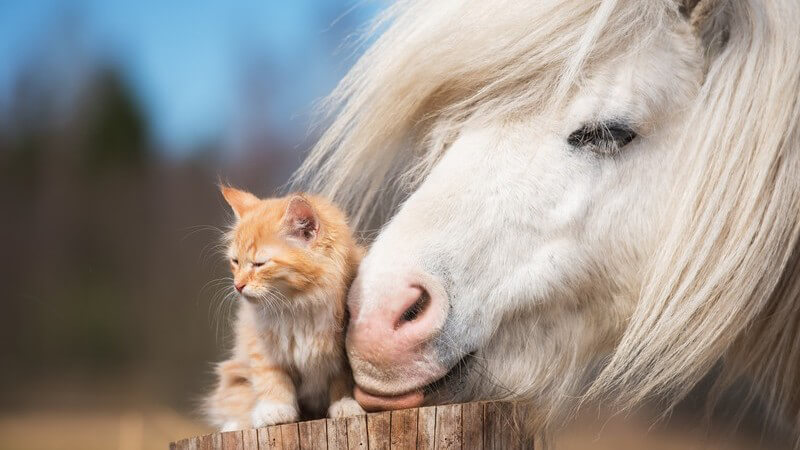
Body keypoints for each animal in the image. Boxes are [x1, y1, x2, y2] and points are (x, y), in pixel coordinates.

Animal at [208, 187, 368, 432]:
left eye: (259, 264)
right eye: (235, 262)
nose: (238, 285)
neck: (299, 305)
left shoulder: (344, 351)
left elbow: (343, 379)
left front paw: (345, 403)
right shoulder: (261, 344)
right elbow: (271, 377)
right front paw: (275, 409)